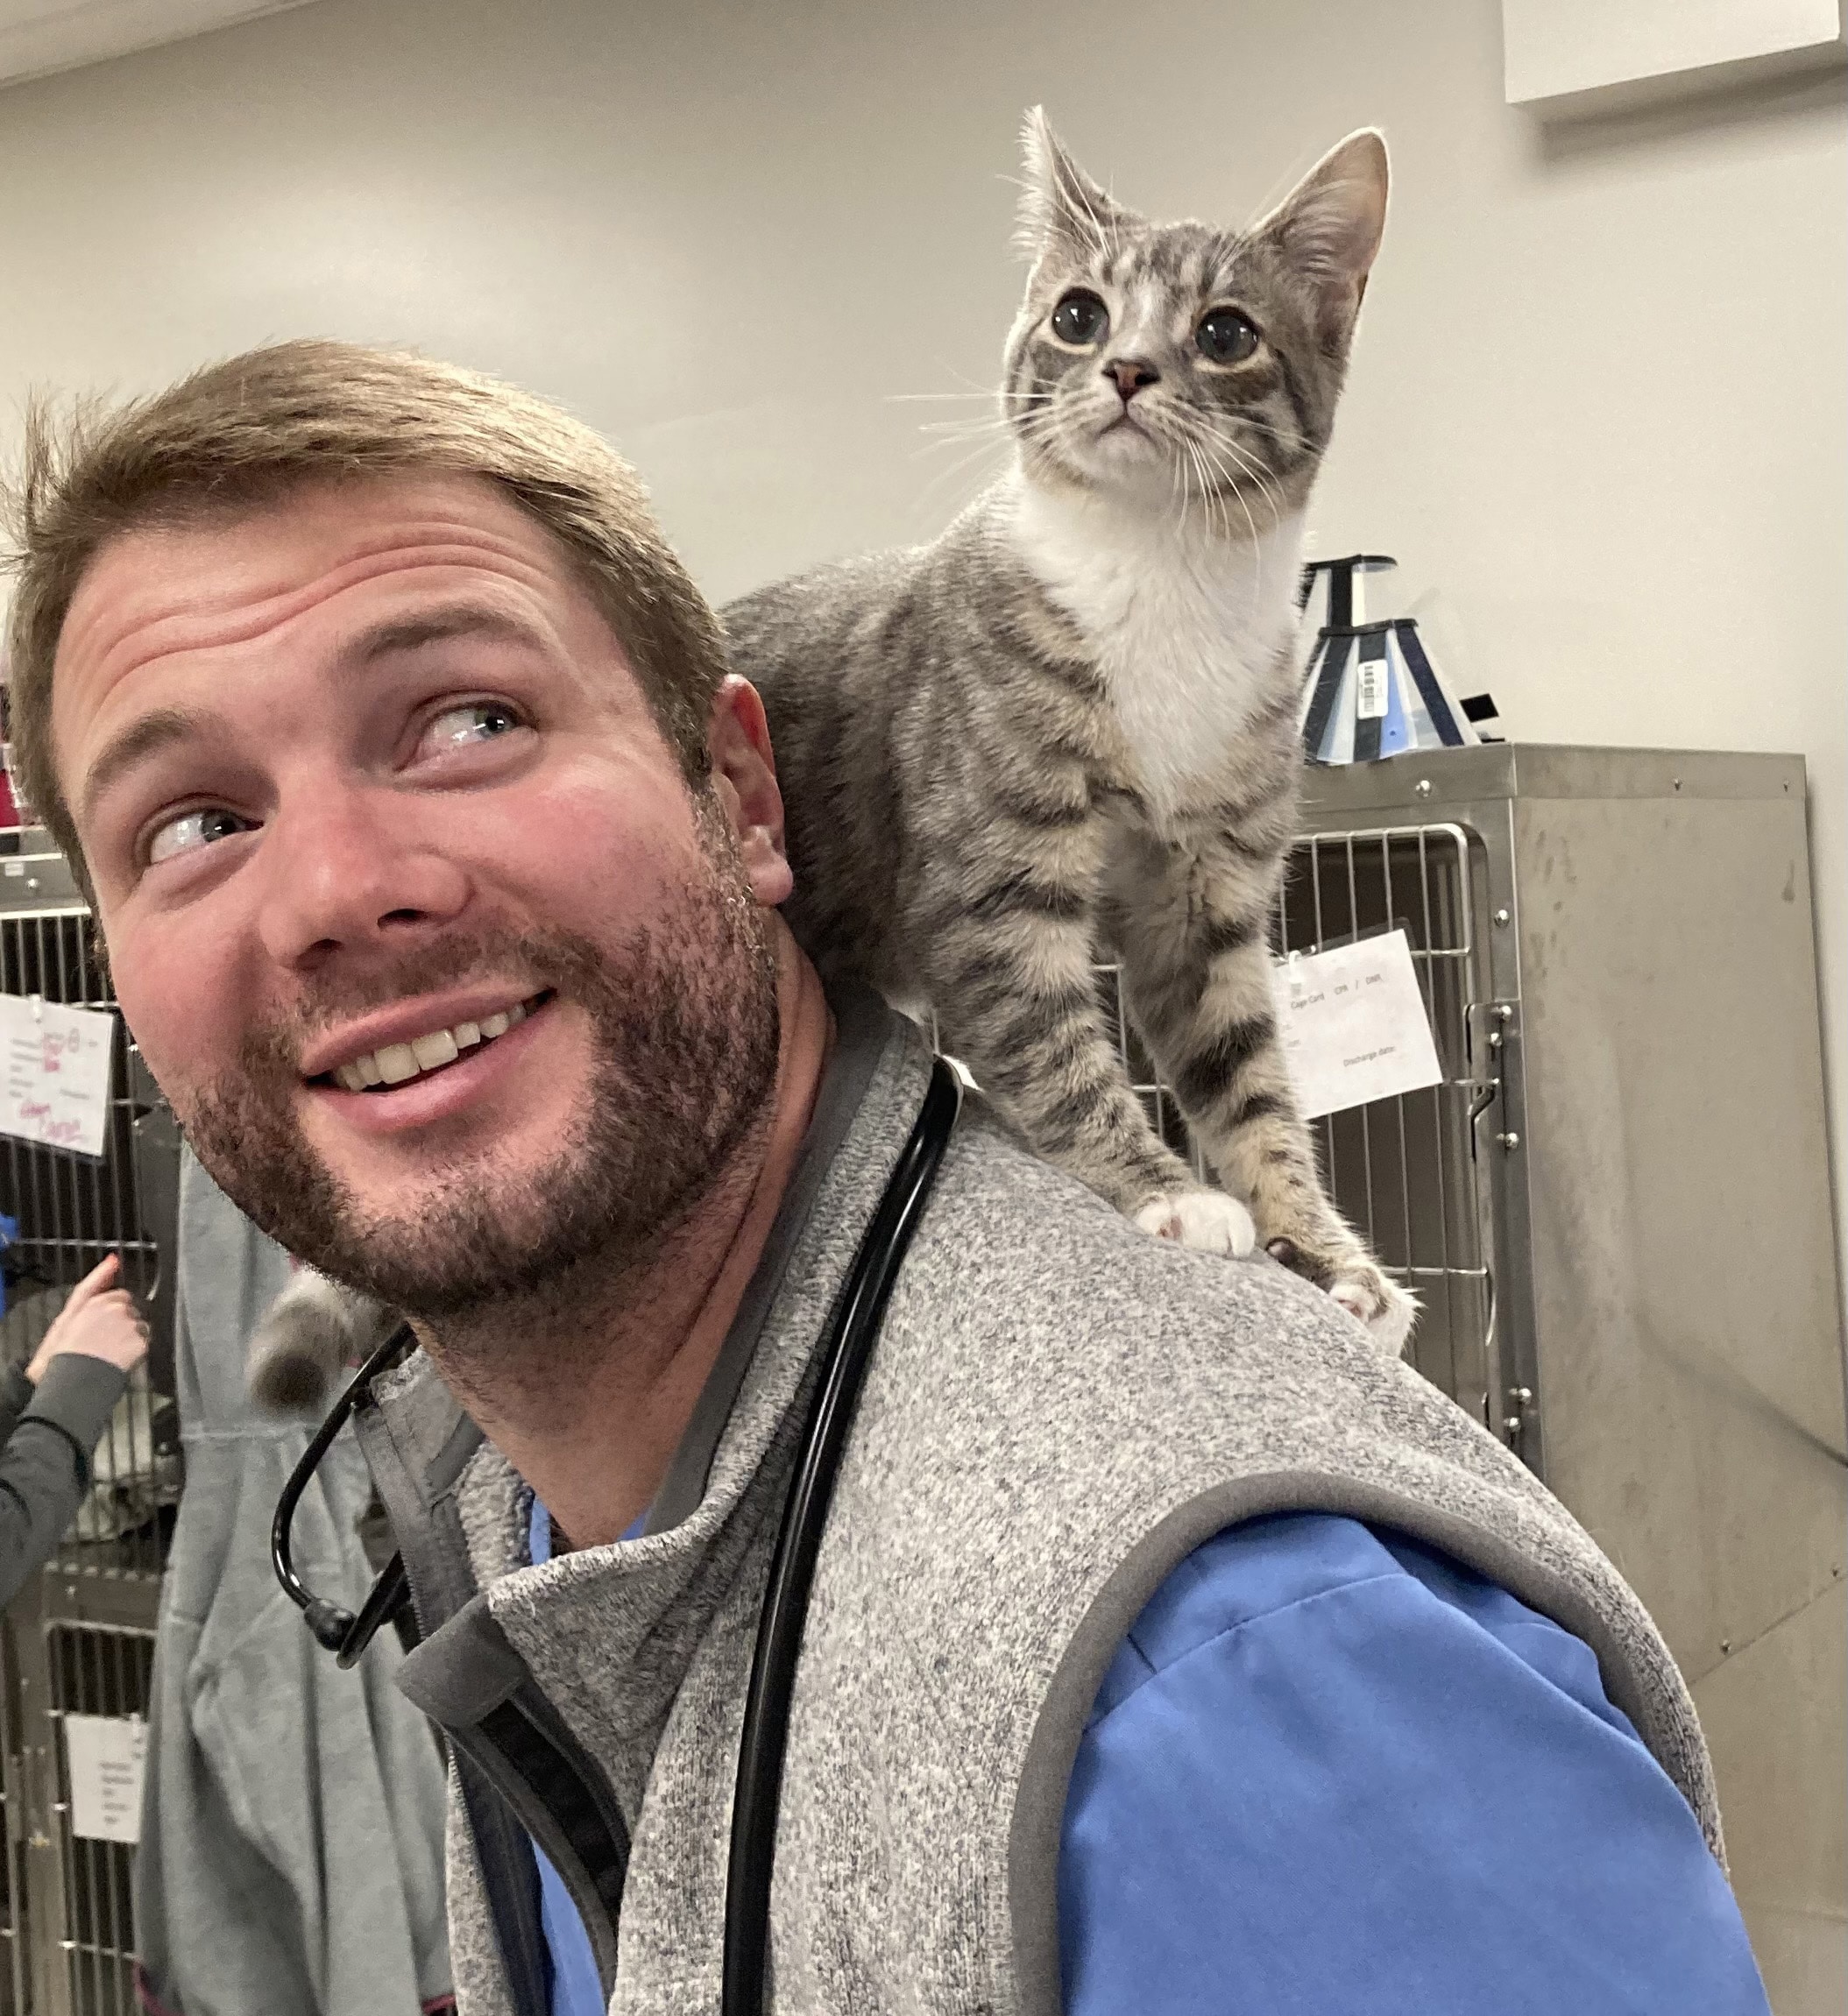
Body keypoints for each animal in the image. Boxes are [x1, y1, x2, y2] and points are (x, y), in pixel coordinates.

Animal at [725, 102, 1410, 1347]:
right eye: (1079, 315)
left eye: (1227, 331)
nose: (1129, 369)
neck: (1161, 573)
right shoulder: (990, 873)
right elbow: (1045, 1033)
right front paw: (1166, 1193)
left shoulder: (1207, 895)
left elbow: (1247, 1071)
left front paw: (1326, 1252)